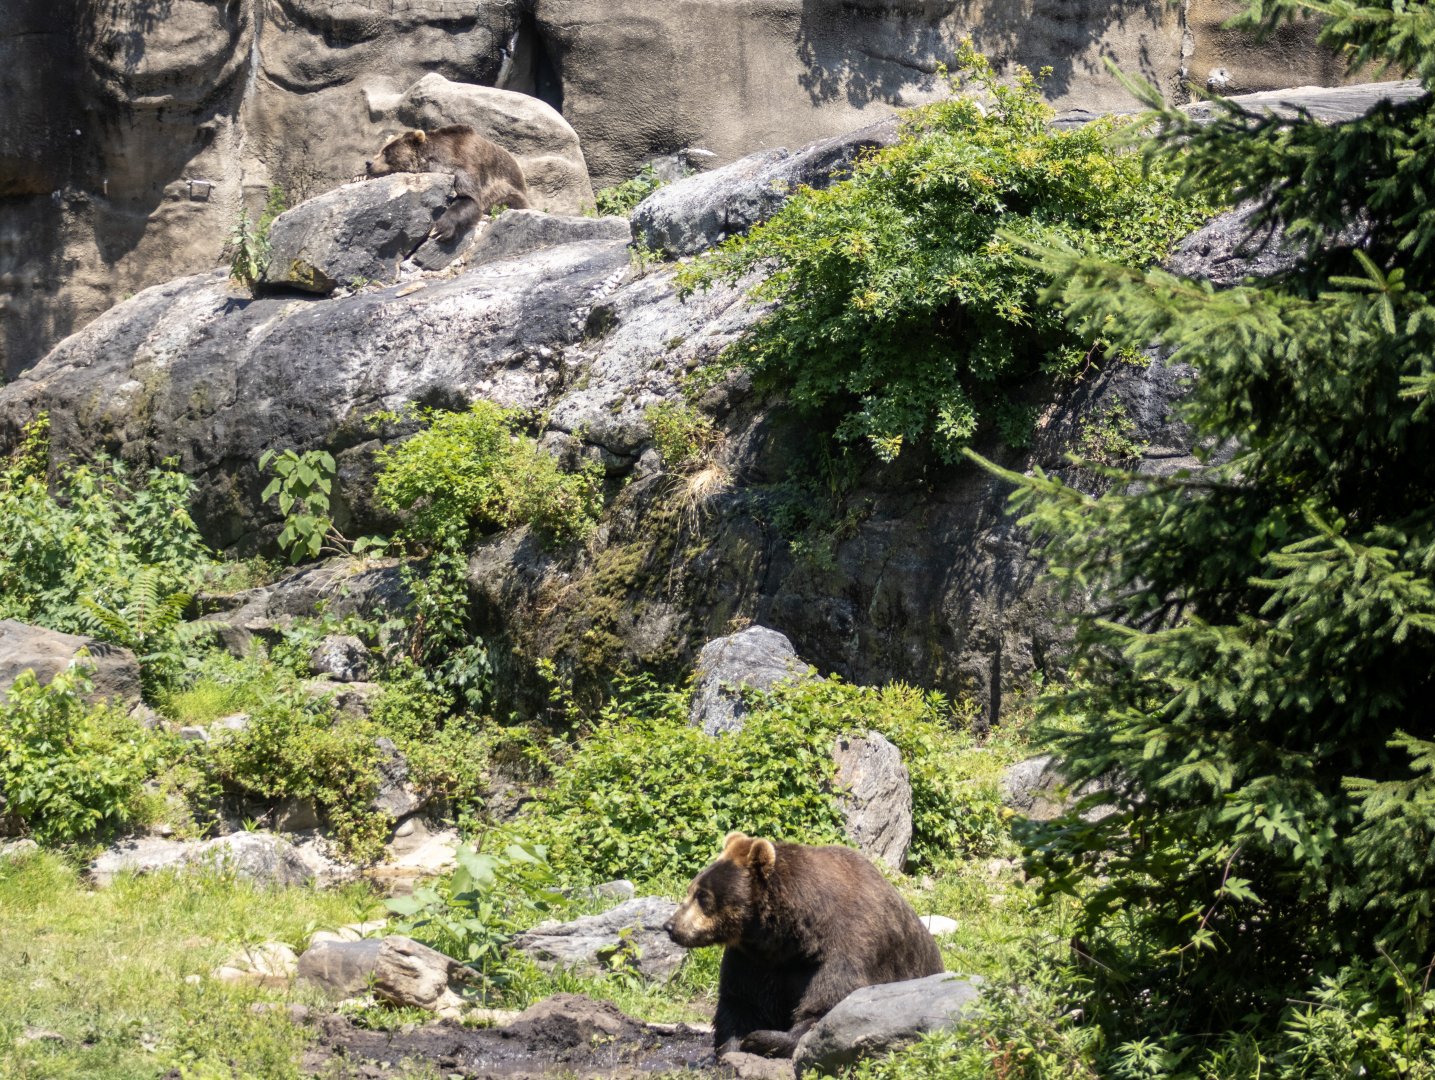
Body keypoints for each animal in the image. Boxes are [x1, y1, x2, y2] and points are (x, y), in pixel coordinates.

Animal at [365, 125, 531, 243]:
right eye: (380, 150)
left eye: (387, 152)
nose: (368, 163)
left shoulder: (466, 166)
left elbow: (469, 198)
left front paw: (441, 229)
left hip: (508, 190)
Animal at [664, 832, 944, 1059]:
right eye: (692, 888)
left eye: (703, 896)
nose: (670, 925)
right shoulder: (754, 959)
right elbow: (741, 1002)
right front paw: (731, 1047)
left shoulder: (847, 948)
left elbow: (825, 1008)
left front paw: (760, 1039)